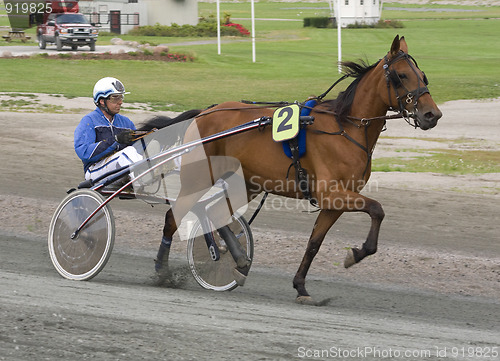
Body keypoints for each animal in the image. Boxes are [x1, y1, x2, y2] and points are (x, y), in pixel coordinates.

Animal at [147, 35, 442, 302]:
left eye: (423, 76)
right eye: (402, 76)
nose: (433, 115)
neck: (344, 127)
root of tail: (202, 113)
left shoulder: (335, 201)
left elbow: (314, 243)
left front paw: (301, 286)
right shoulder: (331, 193)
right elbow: (377, 209)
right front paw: (356, 253)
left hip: (246, 184)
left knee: (214, 213)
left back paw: (240, 261)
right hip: (199, 177)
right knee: (174, 216)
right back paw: (162, 272)